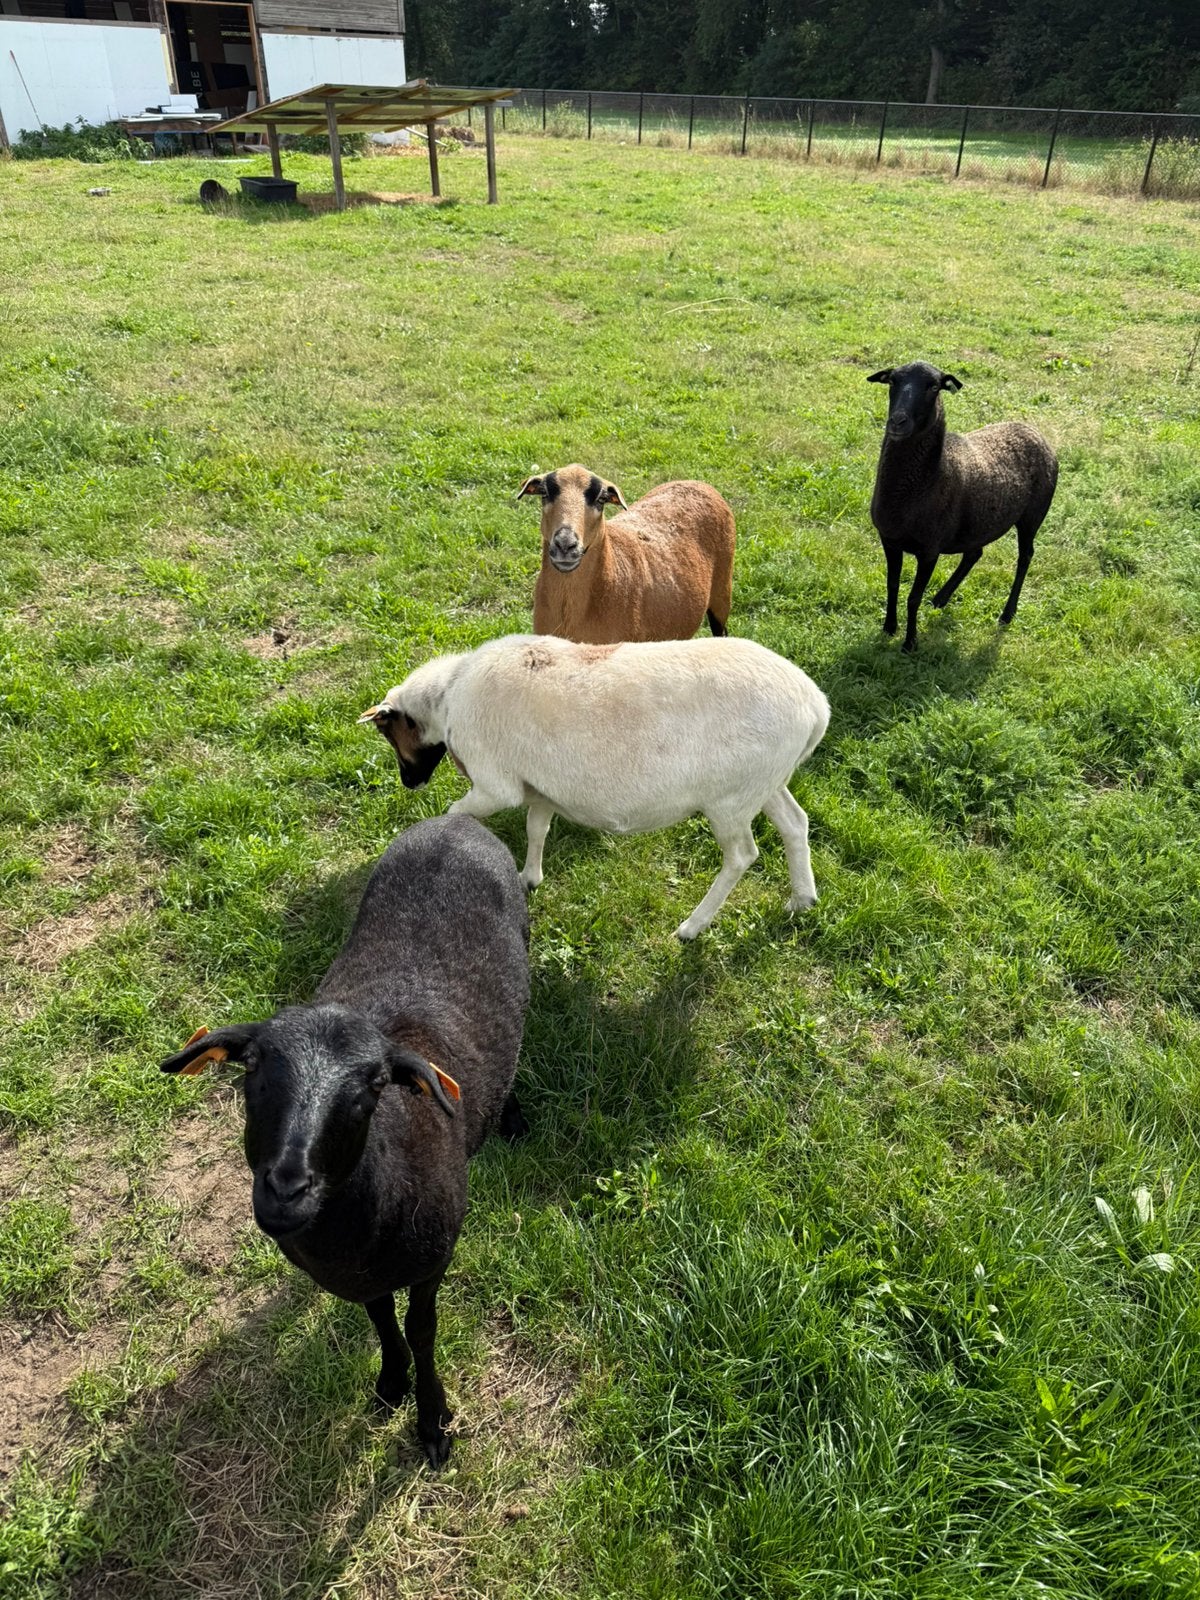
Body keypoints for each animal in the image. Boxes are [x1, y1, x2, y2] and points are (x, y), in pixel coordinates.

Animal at [159, 815, 530, 1469]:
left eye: (375, 1085)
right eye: (251, 1066)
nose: (286, 1189)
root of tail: (455, 820)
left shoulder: (434, 1258)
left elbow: (422, 1329)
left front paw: (432, 1421)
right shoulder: (361, 1278)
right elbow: (380, 1318)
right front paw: (390, 1383)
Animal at [359, 633, 830, 940]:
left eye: (388, 734)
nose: (411, 783)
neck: (448, 698)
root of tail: (816, 706)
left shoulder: (496, 785)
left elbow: (457, 812)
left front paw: (448, 842)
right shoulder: (541, 788)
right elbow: (536, 829)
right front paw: (528, 878)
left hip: (729, 799)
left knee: (742, 856)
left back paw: (692, 927)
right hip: (764, 782)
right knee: (795, 823)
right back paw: (803, 899)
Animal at [867, 361, 1058, 652]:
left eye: (934, 387)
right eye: (892, 381)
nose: (897, 421)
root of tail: (1033, 431)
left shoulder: (929, 550)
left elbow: (912, 597)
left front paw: (910, 643)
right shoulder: (889, 539)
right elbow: (892, 585)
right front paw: (889, 627)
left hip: (1033, 516)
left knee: (1025, 557)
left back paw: (1007, 613)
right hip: (977, 524)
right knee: (974, 553)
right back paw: (940, 598)